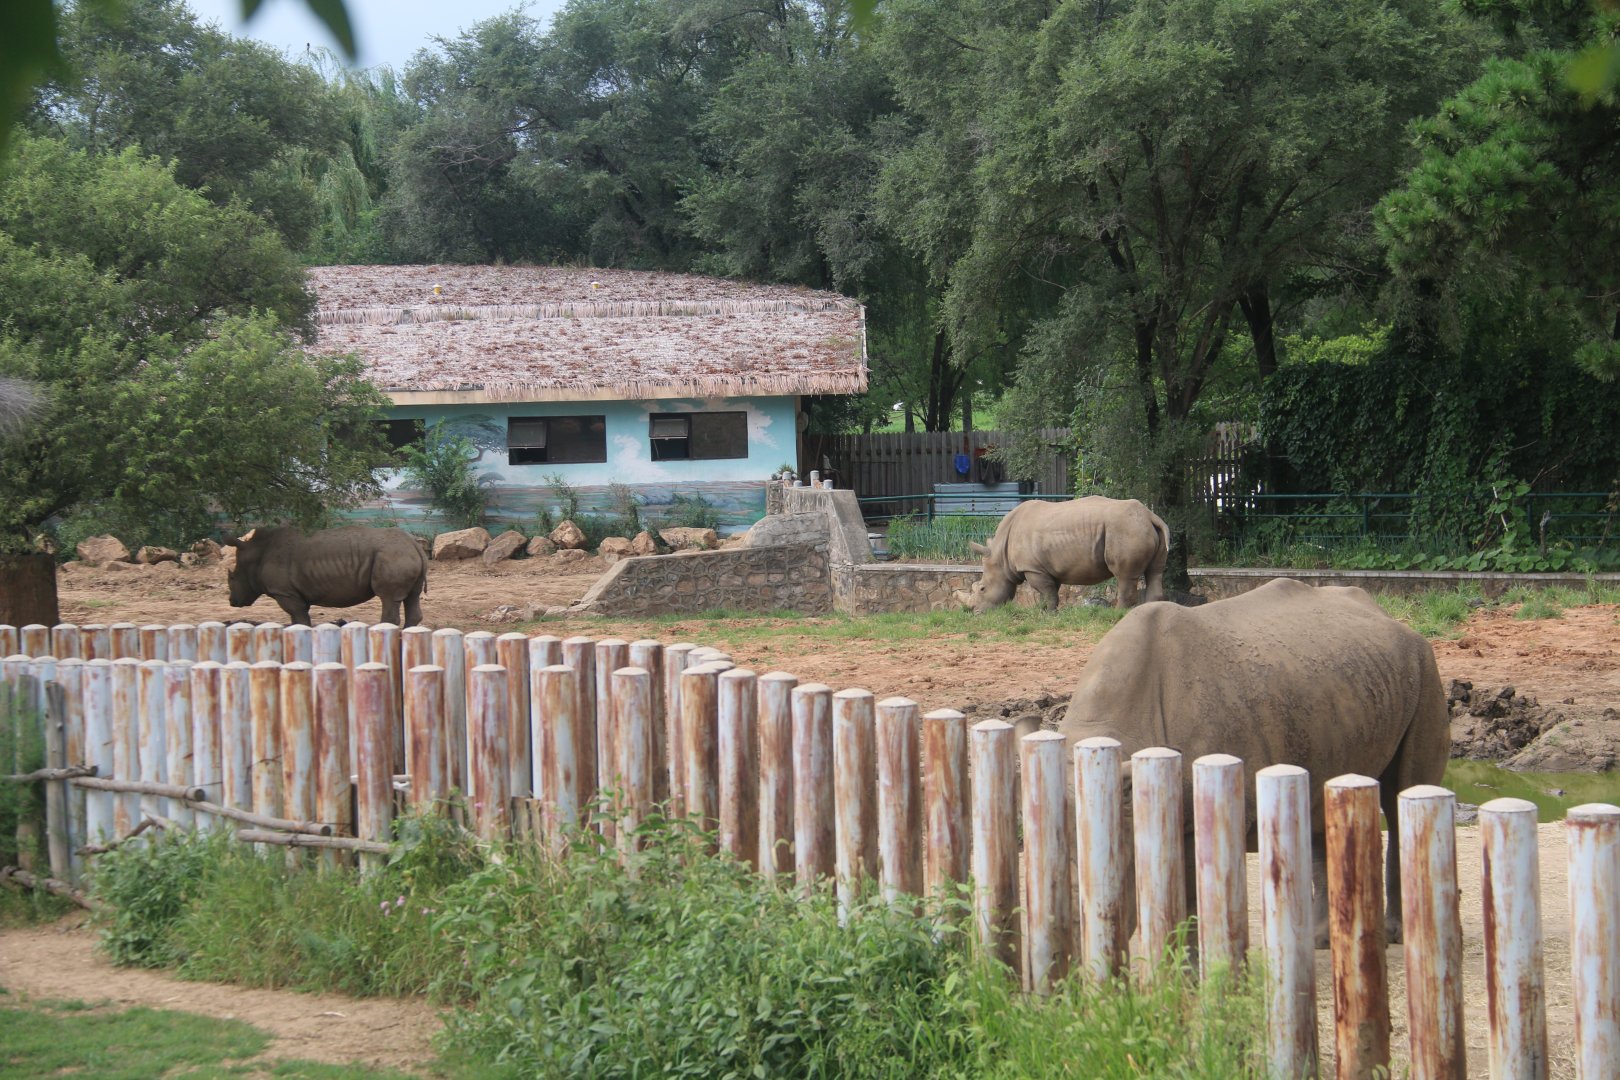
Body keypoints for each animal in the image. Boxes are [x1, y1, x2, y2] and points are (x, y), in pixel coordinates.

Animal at [221, 525, 429, 627]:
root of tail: (415, 544)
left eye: (233, 578)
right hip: (401, 555)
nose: (232, 601)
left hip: (392, 555)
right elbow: (298, 619)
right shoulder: (293, 593)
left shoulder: (284, 592)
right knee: (412, 596)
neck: (256, 552)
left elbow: (299, 618)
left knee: (388, 597)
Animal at [958, 496, 1168, 611]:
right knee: (1155, 572)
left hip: (1125, 528)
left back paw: (1117, 613)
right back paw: (1153, 609)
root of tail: (1150, 515)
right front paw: (1043, 611)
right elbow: (1050, 591)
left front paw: (1048, 614)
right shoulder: (1046, 568)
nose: (976, 612)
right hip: (1140, 526)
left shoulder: (1033, 568)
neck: (1001, 556)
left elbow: (1047, 592)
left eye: (982, 588)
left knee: (1125, 576)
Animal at [1057, 577, 1449, 947]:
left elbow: (1191, 899)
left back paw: (1394, 934)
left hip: (1425, 667)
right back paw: (1321, 941)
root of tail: (1389, 615)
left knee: (1402, 795)